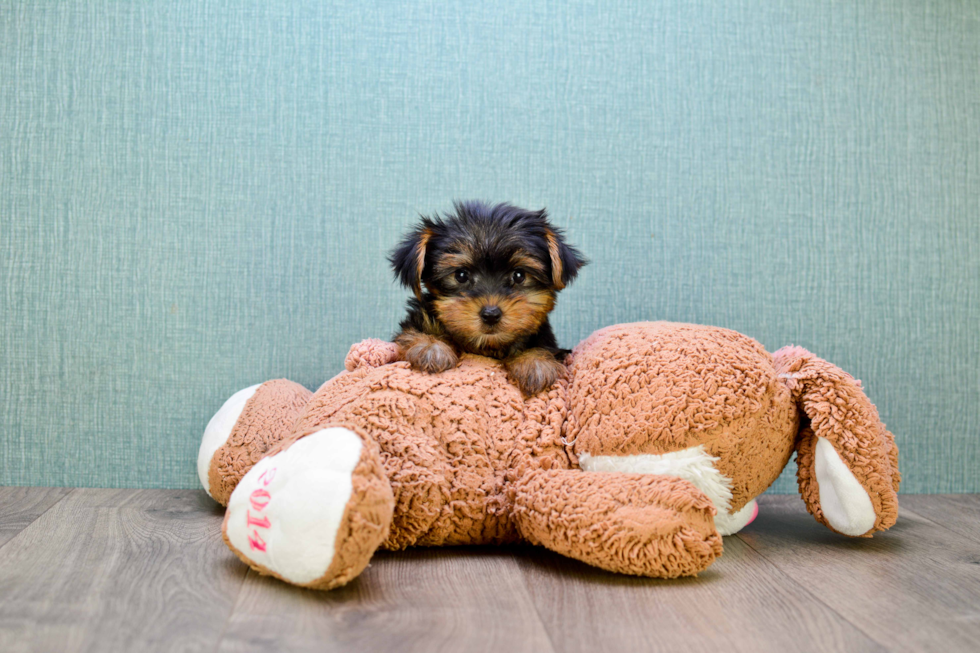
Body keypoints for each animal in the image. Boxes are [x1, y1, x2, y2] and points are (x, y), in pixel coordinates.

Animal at [388, 200, 588, 392]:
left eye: (519, 275)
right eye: (461, 275)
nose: (491, 314)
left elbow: (540, 346)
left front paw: (536, 362)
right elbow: (415, 332)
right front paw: (431, 347)